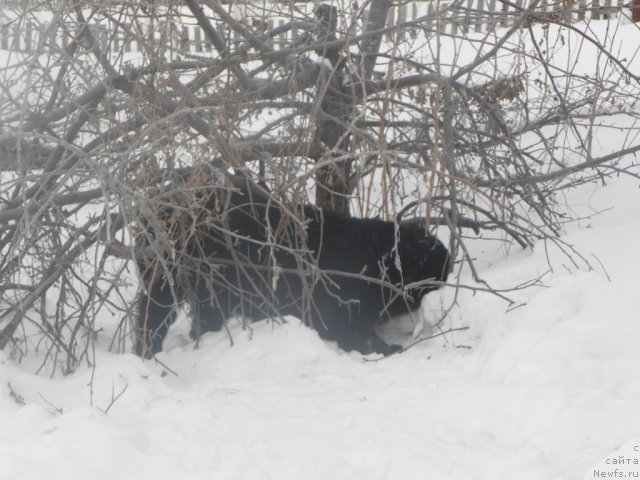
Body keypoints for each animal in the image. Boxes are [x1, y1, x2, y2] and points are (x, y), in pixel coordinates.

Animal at [134, 176, 450, 356]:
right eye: (426, 263)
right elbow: (354, 333)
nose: (448, 265)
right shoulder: (337, 308)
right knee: (155, 314)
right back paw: (148, 350)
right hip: (176, 279)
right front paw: (386, 349)